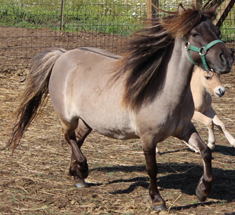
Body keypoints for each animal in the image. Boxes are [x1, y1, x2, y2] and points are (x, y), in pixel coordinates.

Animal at [8, 4, 234, 212]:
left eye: (217, 31)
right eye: (195, 33)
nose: (227, 59)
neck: (165, 91)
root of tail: (62, 55)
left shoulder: (185, 128)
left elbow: (206, 152)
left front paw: (203, 190)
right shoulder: (148, 138)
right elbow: (152, 169)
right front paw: (157, 200)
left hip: (88, 121)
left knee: (78, 140)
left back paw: (77, 176)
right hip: (67, 117)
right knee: (69, 138)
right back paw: (83, 168)